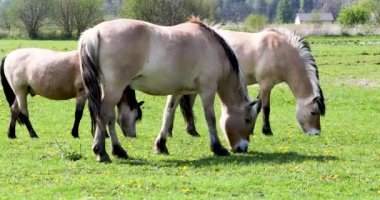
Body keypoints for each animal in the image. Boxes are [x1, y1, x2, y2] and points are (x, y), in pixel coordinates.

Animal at [0, 48, 143, 139]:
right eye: (136, 116)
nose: (133, 136)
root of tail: (9, 56)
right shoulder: (82, 94)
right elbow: (78, 114)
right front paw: (75, 133)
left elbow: (94, 112)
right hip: (21, 91)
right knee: (23, 112)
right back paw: (33, 134)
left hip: (21, 92)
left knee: (14, 109)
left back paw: (11, 134)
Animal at [78, 17, 254, 162]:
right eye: (247, 120)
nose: (243, 147)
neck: (212, 46)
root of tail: (95, 32)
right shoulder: (207, 90)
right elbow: (210, 118)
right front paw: (218, 148)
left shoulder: (178, 91)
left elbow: (168, 114)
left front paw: (161, 145)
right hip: (115, 88)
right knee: (105, 114)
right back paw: (105, 152)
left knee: (106, 116)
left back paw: (115, 151)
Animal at [174, 28, 326, 137]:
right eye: (313, 112)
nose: (316, 133)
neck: (279, 51)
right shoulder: (266, 84)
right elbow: (265, 108)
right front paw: (267, 130)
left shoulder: (264, 86)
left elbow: (256, 107)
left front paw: (251, 129)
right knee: (188, 105)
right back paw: (192, 130)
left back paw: (190, 130)